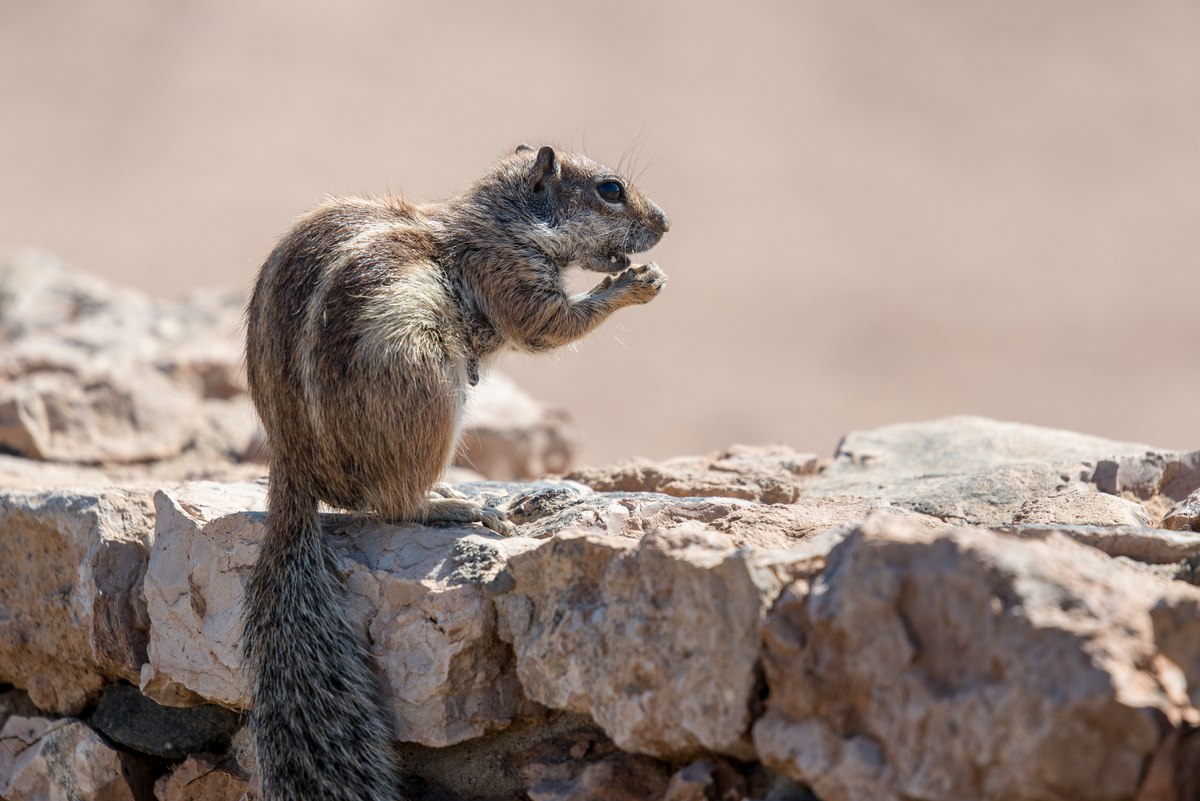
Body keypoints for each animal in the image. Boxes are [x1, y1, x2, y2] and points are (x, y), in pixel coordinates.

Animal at [241, 145, 676, 801]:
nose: (666, 223)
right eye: (610, 190)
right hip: (424, 385)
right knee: (393, 503)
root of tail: (291, 466)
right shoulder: (508, 276)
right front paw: (631, 285)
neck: (503, 222)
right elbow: (548, 326)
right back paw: (460, 505)